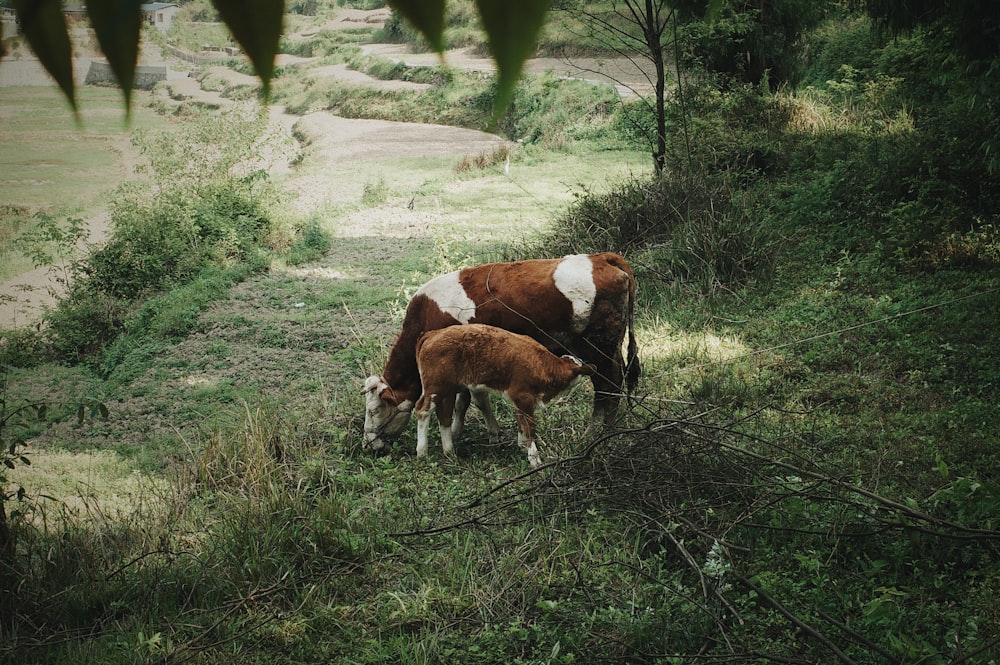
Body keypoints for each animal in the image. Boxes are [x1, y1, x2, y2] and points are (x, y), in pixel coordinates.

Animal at [412, 324, 592, 464]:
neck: (542, 365)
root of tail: (431, 334)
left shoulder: (519, 399)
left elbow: (520, 421)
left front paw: (522, 445)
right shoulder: (522, 395)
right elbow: (529, 426)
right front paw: (534, 458)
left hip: (448, 390)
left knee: (444, 416)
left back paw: (449, 452)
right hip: (436, 386)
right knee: (422, 410)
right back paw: (422, 452)